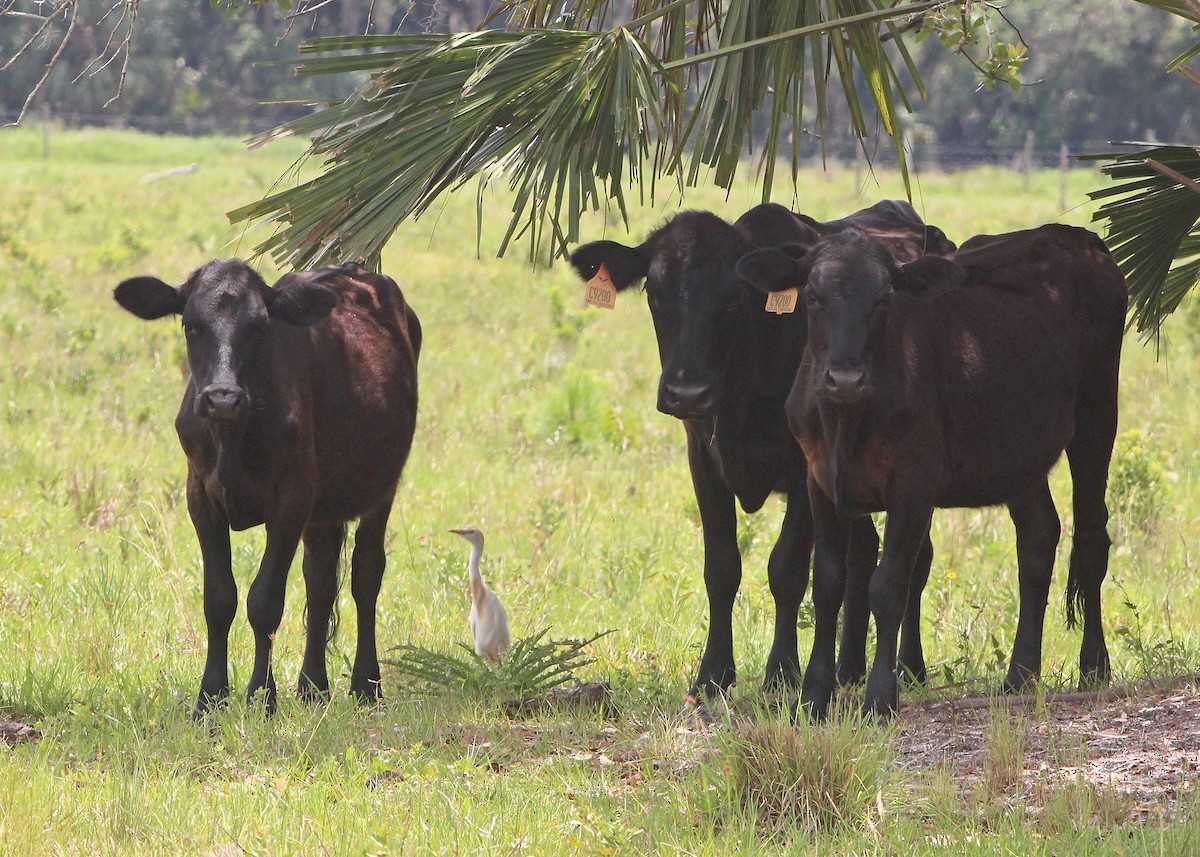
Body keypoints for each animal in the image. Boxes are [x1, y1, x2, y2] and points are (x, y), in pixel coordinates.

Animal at [113, 256, 422, 710]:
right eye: (190, 325)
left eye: (259, 328)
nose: (222, 397)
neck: (234, 436)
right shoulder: (200, 496)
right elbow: (219, 597)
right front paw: (210, 697)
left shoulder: (291, 498)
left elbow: (265, 601)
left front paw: (262, 696)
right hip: (323, 507)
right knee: (321, 578)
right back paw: (312, 687)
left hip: (382, 486)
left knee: (366, 574)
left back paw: (366, 685)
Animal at [571, 200, 955, 700]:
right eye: (654, 291)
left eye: (734, 294)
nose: (687, 392)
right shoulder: (703, 460)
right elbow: (721, 567)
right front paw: (713, 672)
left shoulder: (805, 472)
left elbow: (787, 569)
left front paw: (781, 673)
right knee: (863, 552)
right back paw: (849, 667)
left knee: (915, 559)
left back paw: (908, 666)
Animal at [734, 225, 1128, 715]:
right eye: (812, 296)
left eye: (884, 298)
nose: (844, 379)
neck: (847, 420)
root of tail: (1078, 238)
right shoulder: (818, 479)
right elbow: (827, 582)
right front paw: (814, 696)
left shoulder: (914, 483)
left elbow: (887, 586)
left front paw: (880, 698)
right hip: (1018, 449)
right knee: (1038, 538)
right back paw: (1020, 674)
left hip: (1097, 414)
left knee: (1092, 537)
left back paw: (1094, 665)